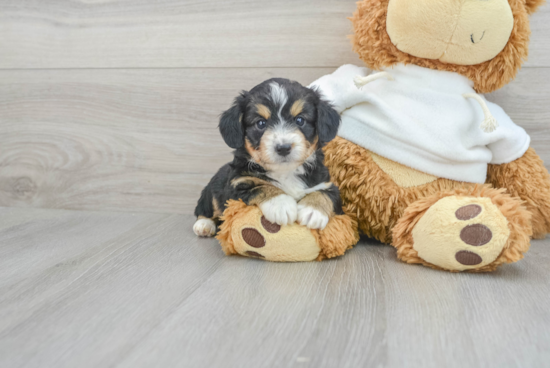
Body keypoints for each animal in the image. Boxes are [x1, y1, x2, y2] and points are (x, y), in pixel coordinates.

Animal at [192, 78, 342, 237]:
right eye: (261, 123)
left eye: (300, 120)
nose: (283, 147)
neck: (285, 172)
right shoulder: (236, 184)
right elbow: (260, 185)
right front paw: (281, 204)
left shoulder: (327, 183)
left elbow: (326, 193)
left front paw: (313, 211)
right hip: (211, 190)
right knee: (205, 208)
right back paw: (204, 225)